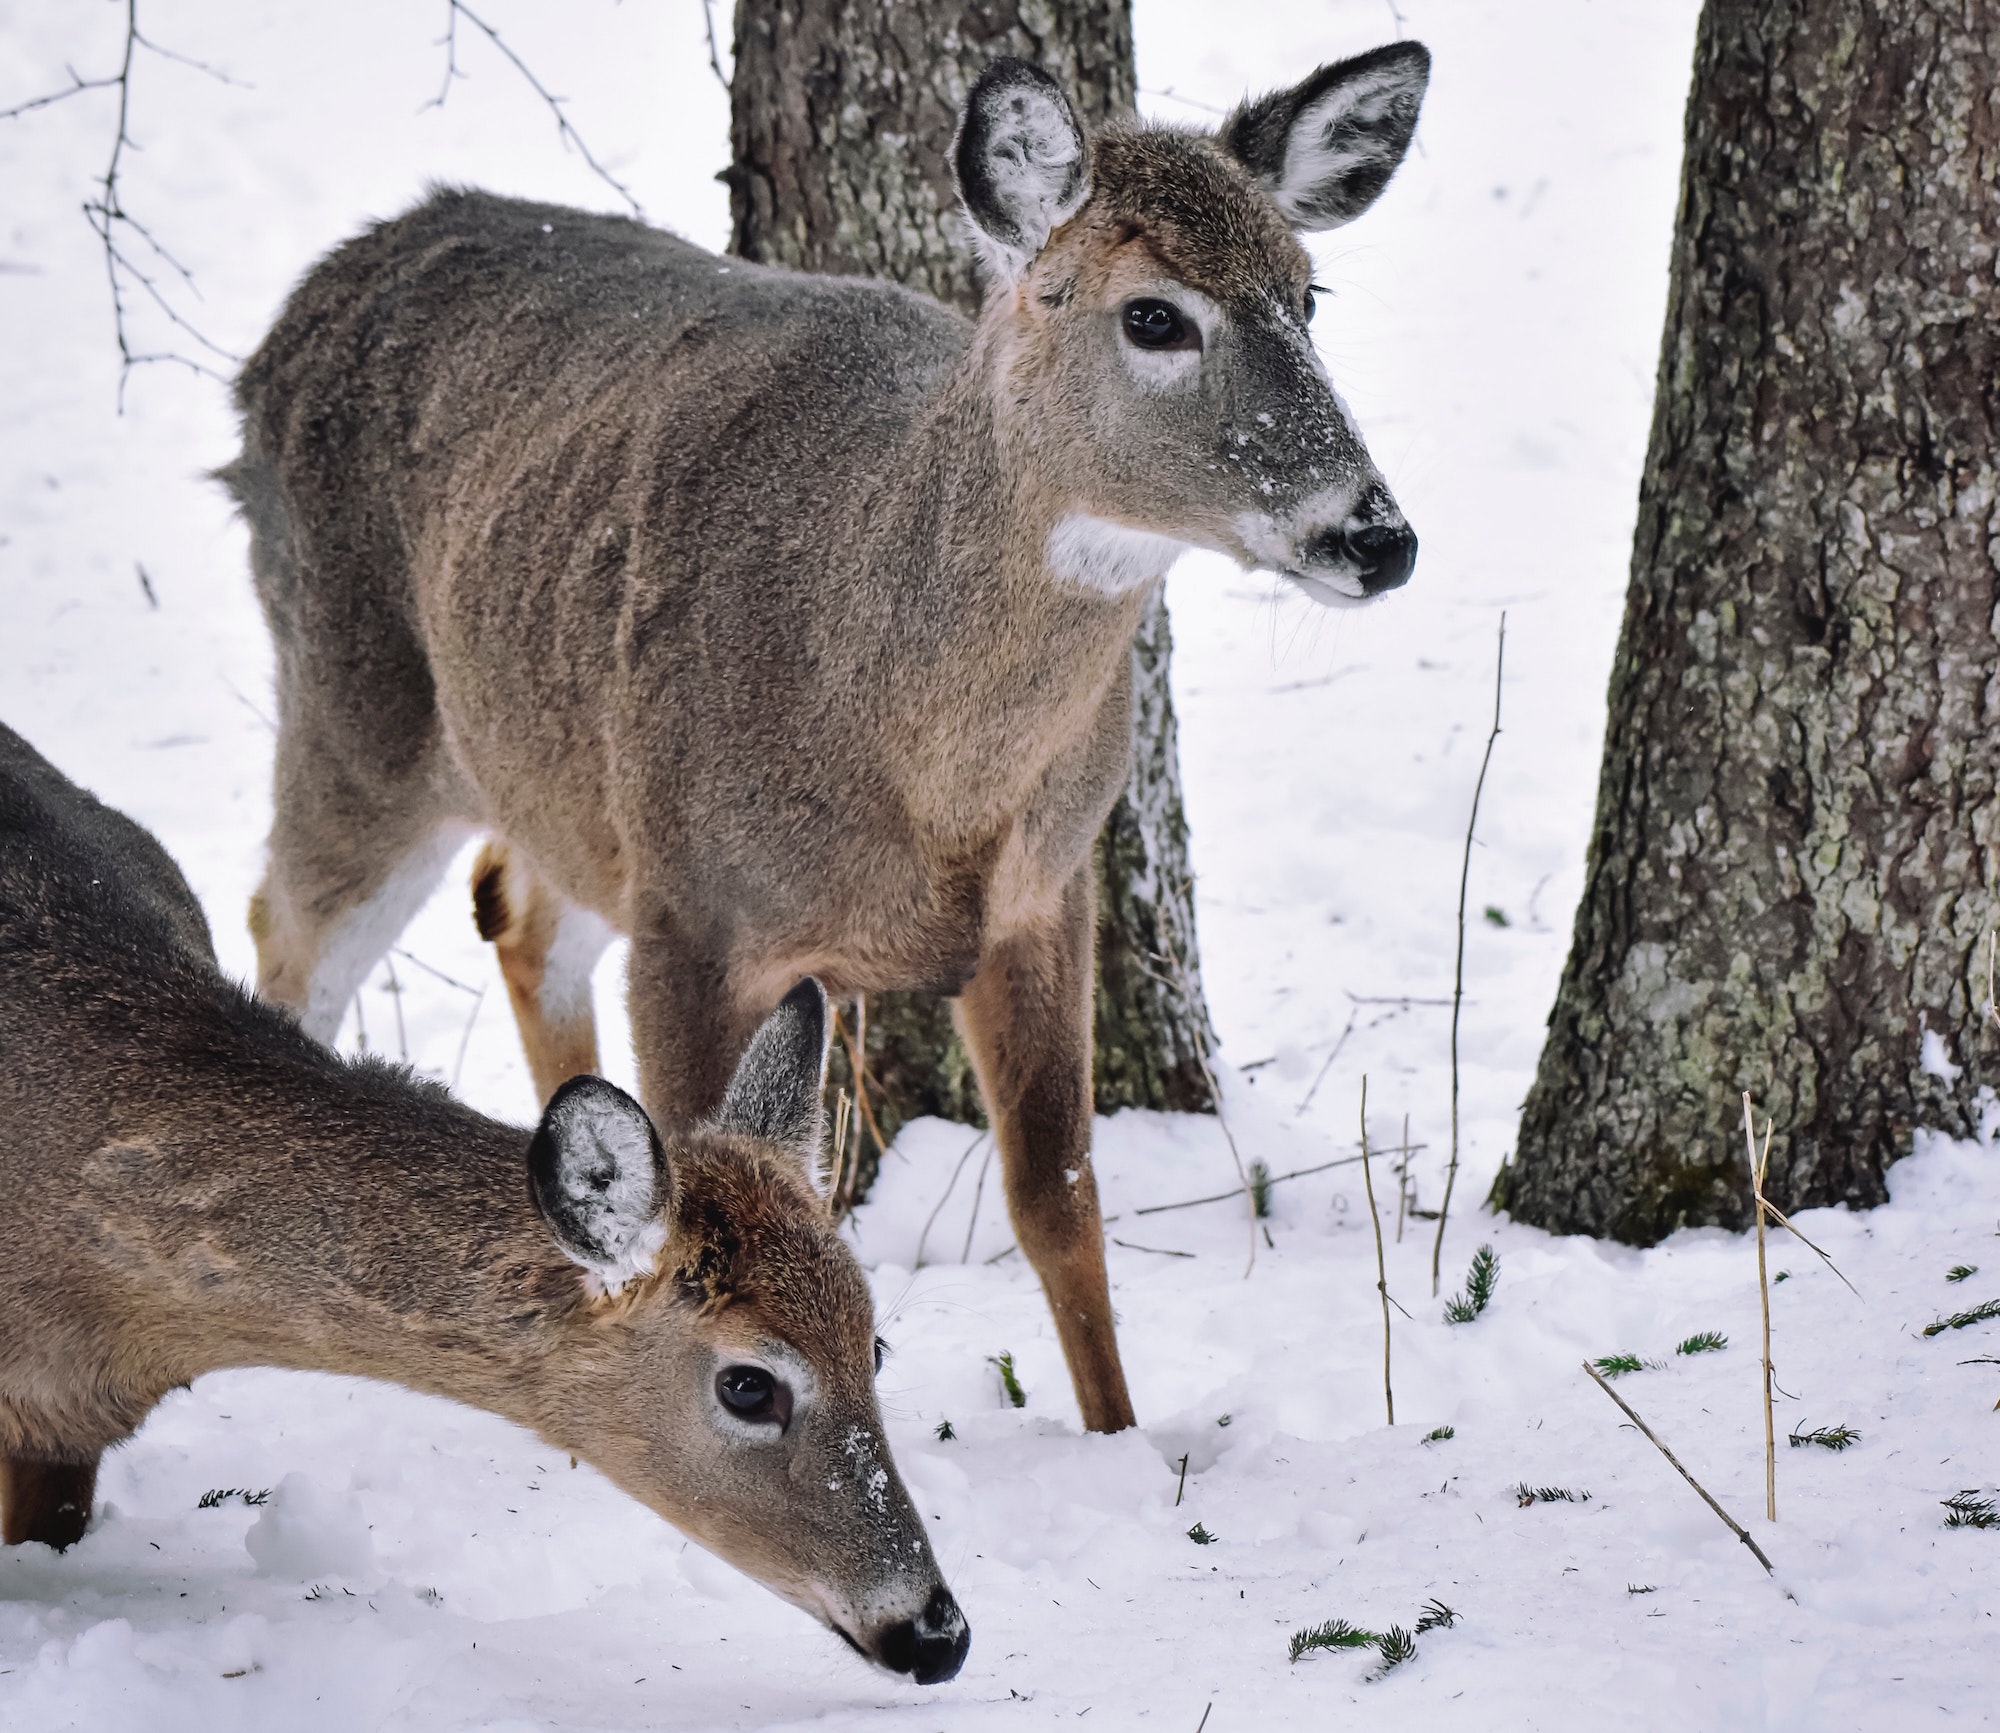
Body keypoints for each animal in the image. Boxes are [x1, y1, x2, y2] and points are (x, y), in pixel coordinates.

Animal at [227, 44, 1432, 1432]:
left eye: (1307, 293)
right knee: (290, 936)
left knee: (515, 915)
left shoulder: (1045, 886)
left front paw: (1118, 1431)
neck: (920, 766)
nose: (1377, 535)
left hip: (559, 766)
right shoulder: (697, 916)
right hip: (351, 702)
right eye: (1152, 317)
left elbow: (1057, 1193)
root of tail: (297, 312)